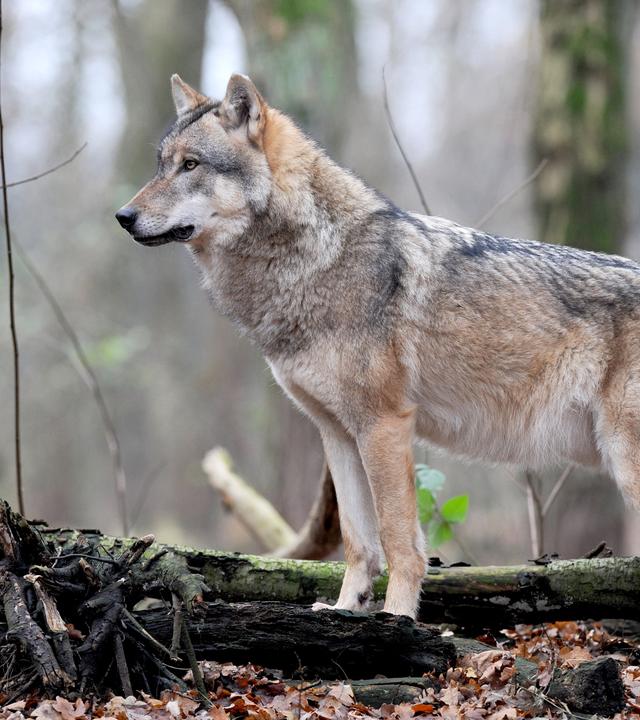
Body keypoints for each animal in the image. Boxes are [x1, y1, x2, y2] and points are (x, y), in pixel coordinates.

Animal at [117, 73, 640, 619]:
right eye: (161, 165)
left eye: (191, 165)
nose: (123, 215)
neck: (317, 259)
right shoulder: (338, 434)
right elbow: (358, 542)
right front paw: (345, 609)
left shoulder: (384, 425)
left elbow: (398, 540)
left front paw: (397, 618)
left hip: (625, 460)